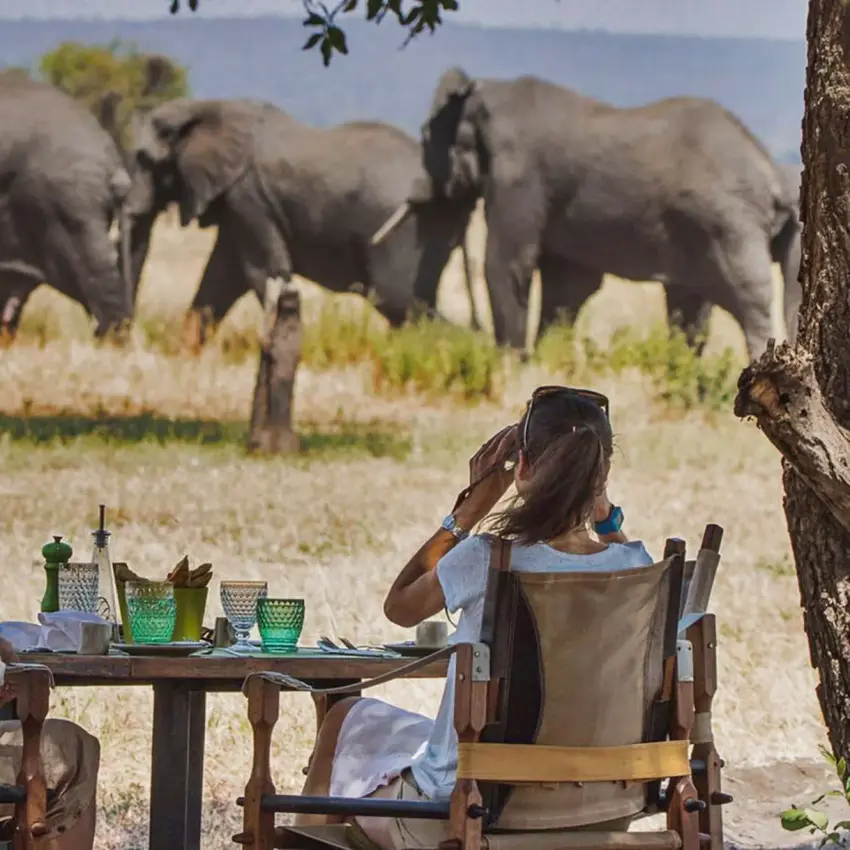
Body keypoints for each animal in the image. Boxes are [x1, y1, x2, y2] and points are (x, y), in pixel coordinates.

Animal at [124, 97, 477, 349]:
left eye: (146, 161)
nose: (125, 337)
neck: (203, 107)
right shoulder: (241, 205)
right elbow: (221, 277)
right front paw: (183, 353)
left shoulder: (248, 197)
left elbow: (263, 272)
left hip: (408, 228)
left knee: (400, 300)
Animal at [373, 67, 802, 361]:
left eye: (424, 135)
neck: (488, 89)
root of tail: (773, 174)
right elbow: (568, 284)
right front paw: (546, 362)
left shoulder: (518, 178)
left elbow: (508, 263)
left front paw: (511, 362)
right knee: (697, 306)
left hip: (729, 226)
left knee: (748, 301)